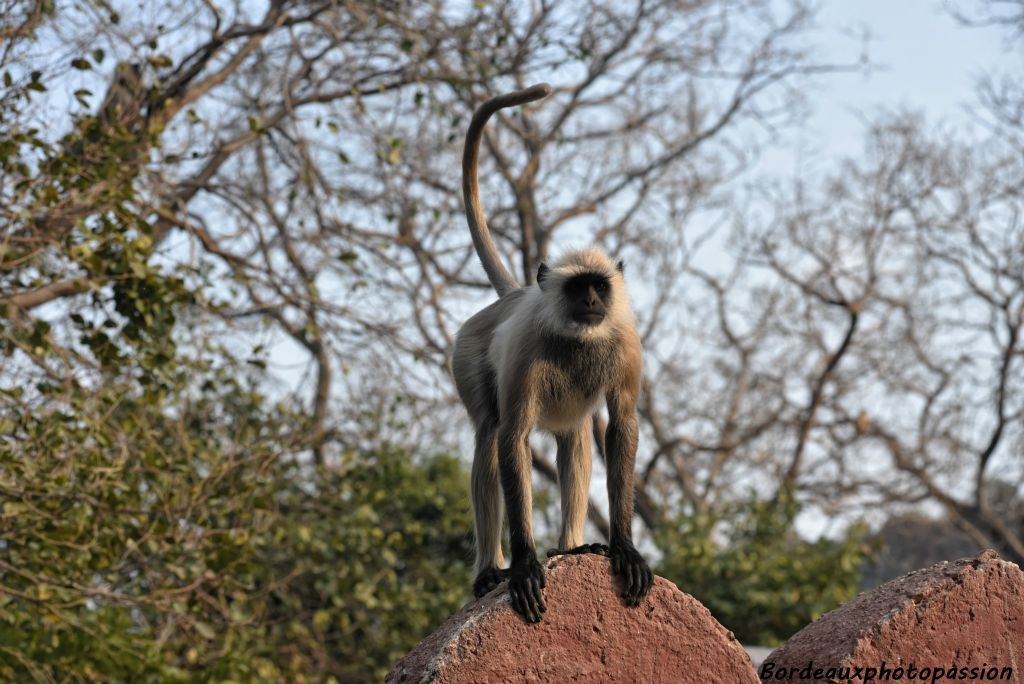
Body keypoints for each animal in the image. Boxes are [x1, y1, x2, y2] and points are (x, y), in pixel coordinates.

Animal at [452, 82, 651, 622]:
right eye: (578, 288)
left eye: (599, 287)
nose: (591, 301)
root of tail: (515, 295)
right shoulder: (525, 349)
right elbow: (513, 437)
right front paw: (523, 564)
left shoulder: (626, 343)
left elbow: (621, 426)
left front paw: (624, 546)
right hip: (467, 352)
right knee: (490, 434)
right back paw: (490, 569)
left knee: (575, 435)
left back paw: (571, 545)